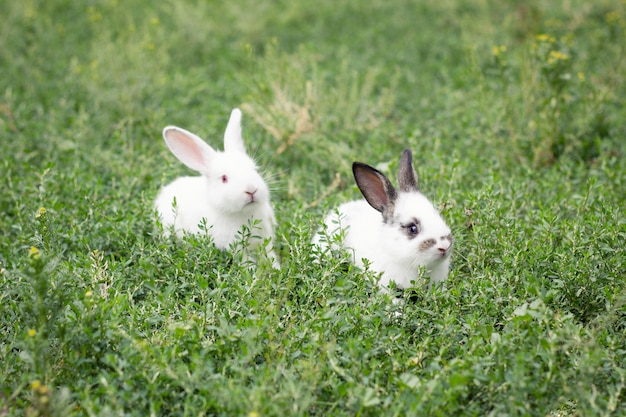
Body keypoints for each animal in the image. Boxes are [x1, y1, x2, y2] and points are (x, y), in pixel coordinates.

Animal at [154, 108, 278, 266]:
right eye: (224, 178)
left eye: (254, 169)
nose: (251, 190)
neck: (243, 214)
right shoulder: (235, 247)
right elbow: (246, 262)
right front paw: (254, 273)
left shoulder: (265, 241)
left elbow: (270, 256)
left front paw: (276, 269)